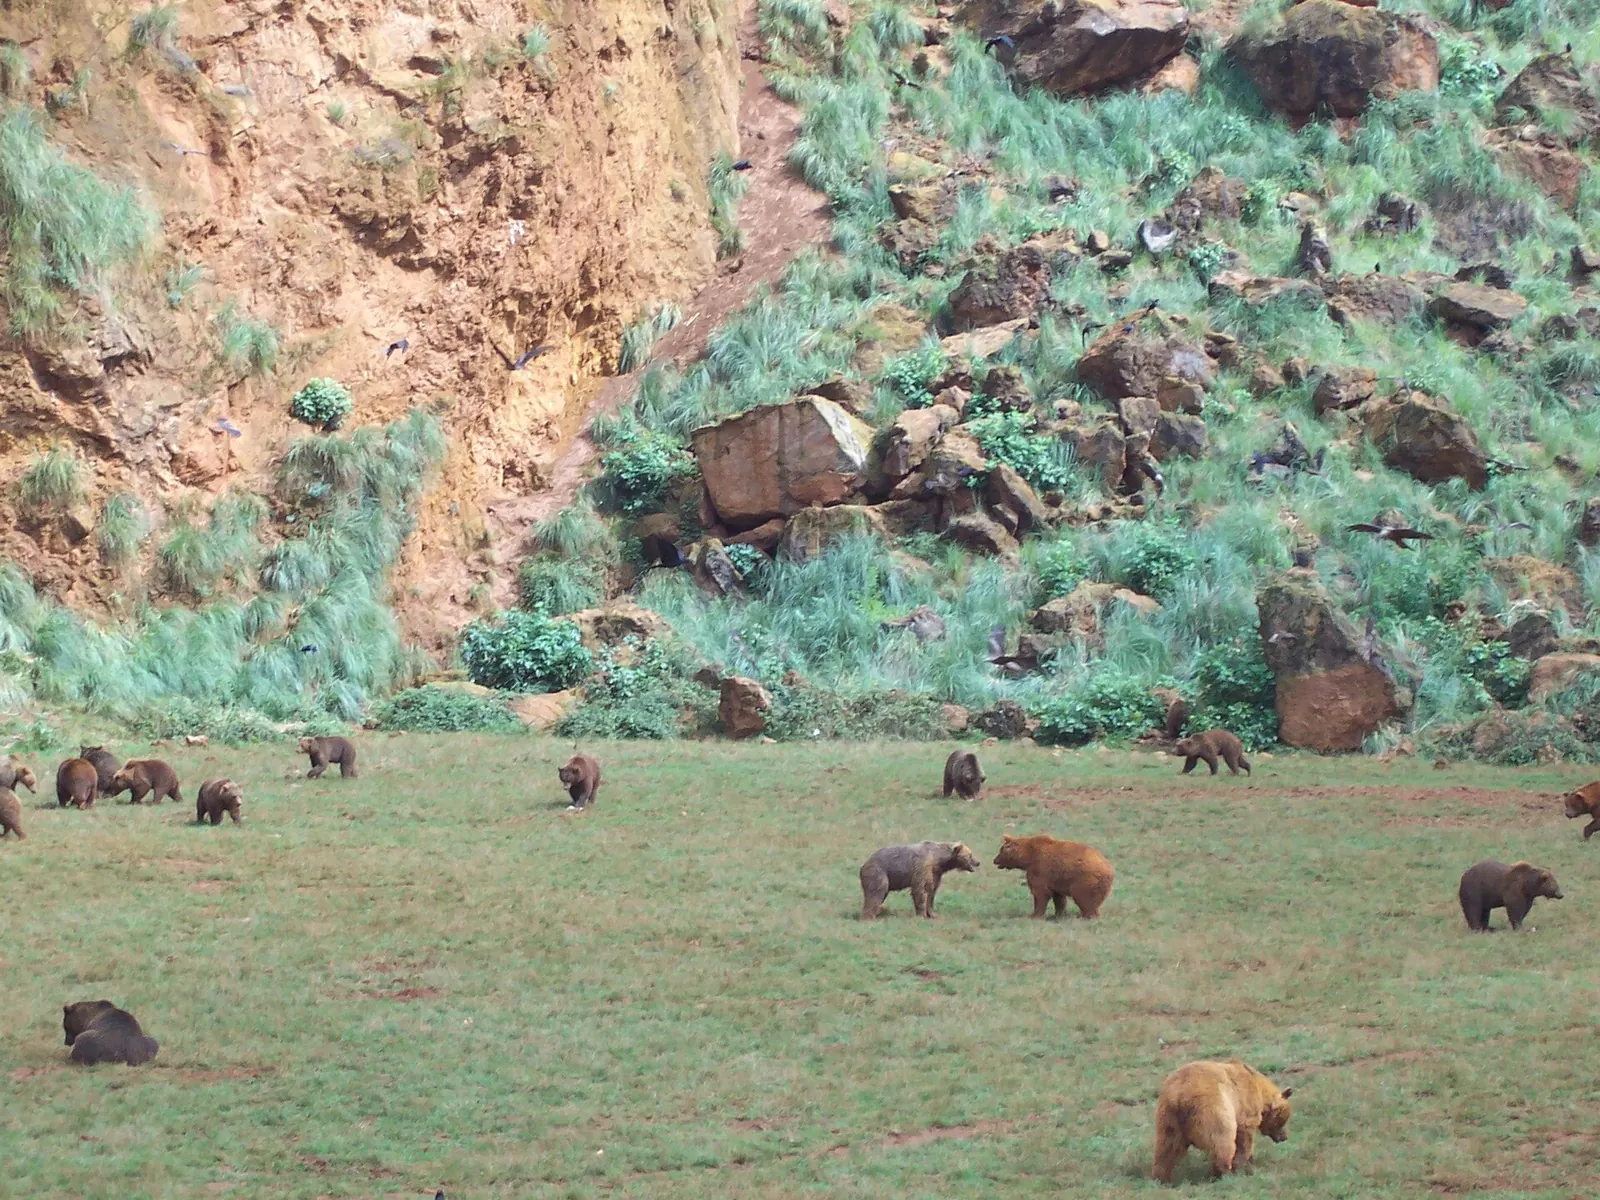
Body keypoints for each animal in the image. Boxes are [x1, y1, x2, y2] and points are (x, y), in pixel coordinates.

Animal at [1152, 1058, 1293, 1183]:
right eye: (1283, 1120)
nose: (1284, 1137)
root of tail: (1180, 1093)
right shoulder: (1245, 1106)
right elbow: (1244, 1138)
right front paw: (1243, 1164)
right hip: (1213, 1108)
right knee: (1222, 1141)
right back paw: (1225, 1173)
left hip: (1168, 1116)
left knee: (1166, 1146)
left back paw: (1162, 1177)